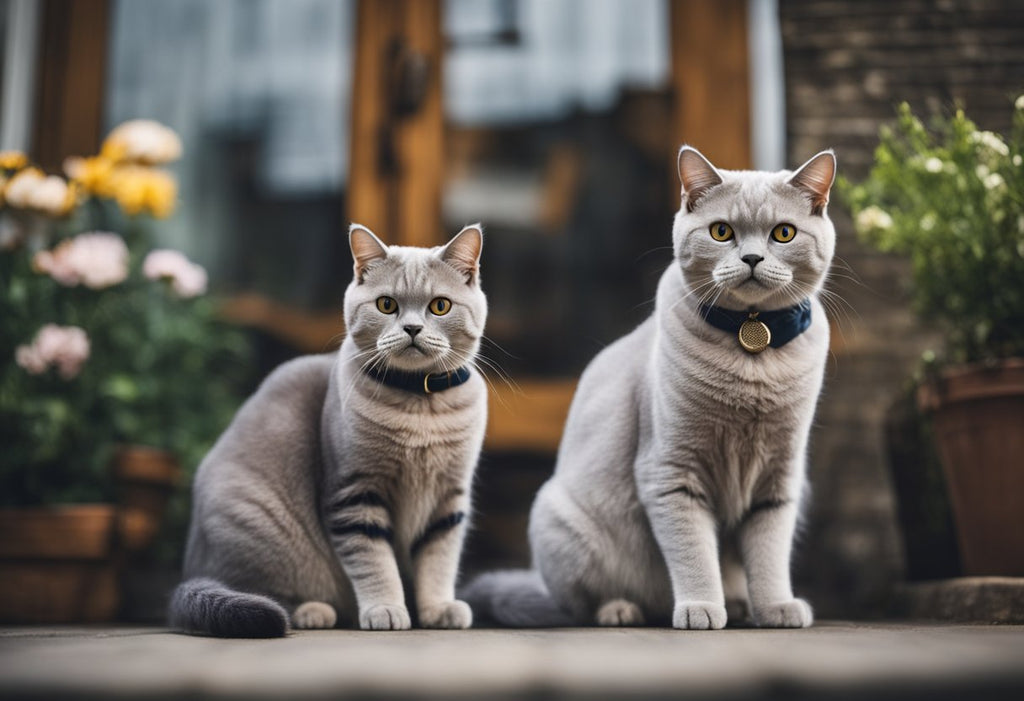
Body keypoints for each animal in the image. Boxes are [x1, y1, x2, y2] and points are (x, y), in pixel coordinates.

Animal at [167, 223, 487, 634]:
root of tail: (191, 570)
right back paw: (312, 612)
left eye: (440, 306)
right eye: (387, 305)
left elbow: (438, 562)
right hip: (256, 524)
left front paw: (438, 609)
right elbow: (374, 563)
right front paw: (386, 609)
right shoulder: (355, 493)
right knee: (259, 593)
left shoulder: (449, 502)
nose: (413, 328)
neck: (419, 406)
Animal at [468, 146, 835, 630]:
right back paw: (623, 610)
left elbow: (769, 555)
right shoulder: (670, 473)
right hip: (556, 517)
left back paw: (738, 605)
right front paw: (700, 608)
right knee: (583, 604)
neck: (751, 346)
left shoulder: (780, 480)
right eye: (722, 232)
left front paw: (776, 607)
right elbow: (694, 553)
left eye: (784, 233)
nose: (753, 258)